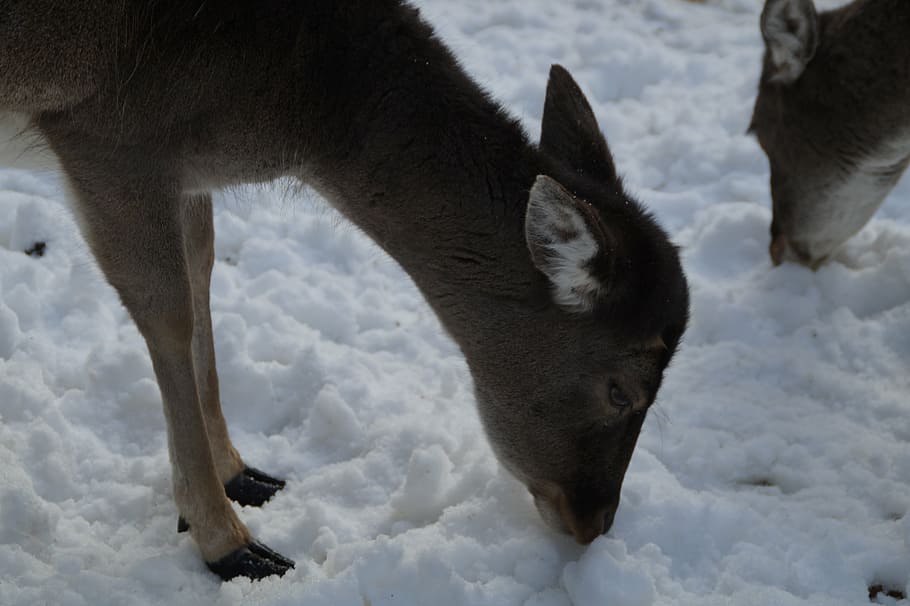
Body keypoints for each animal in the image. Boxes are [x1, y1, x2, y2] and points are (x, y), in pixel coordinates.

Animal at [0, 0, 689, 581]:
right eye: (621, 392)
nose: (594, 522)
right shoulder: (106, 140)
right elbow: (169, 315)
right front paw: (231, 544)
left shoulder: (185, 177)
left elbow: (203, 281)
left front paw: (241, 474)